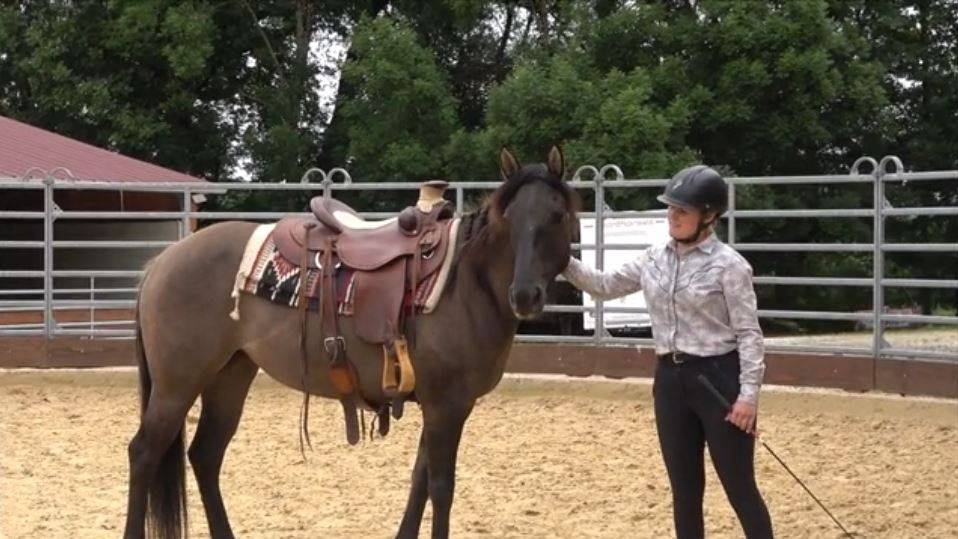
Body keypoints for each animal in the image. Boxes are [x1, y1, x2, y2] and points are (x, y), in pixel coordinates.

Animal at [123, 146, 580, 539]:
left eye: (557, 215)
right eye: (509, 218)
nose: (525, 295)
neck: (463, 283)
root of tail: (162, 261)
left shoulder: (435, 404)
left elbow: (419, 481)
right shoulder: (447, 405)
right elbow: (441, 488)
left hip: (230, 375)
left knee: (205, 455)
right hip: (176, 385)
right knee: (144, 453)